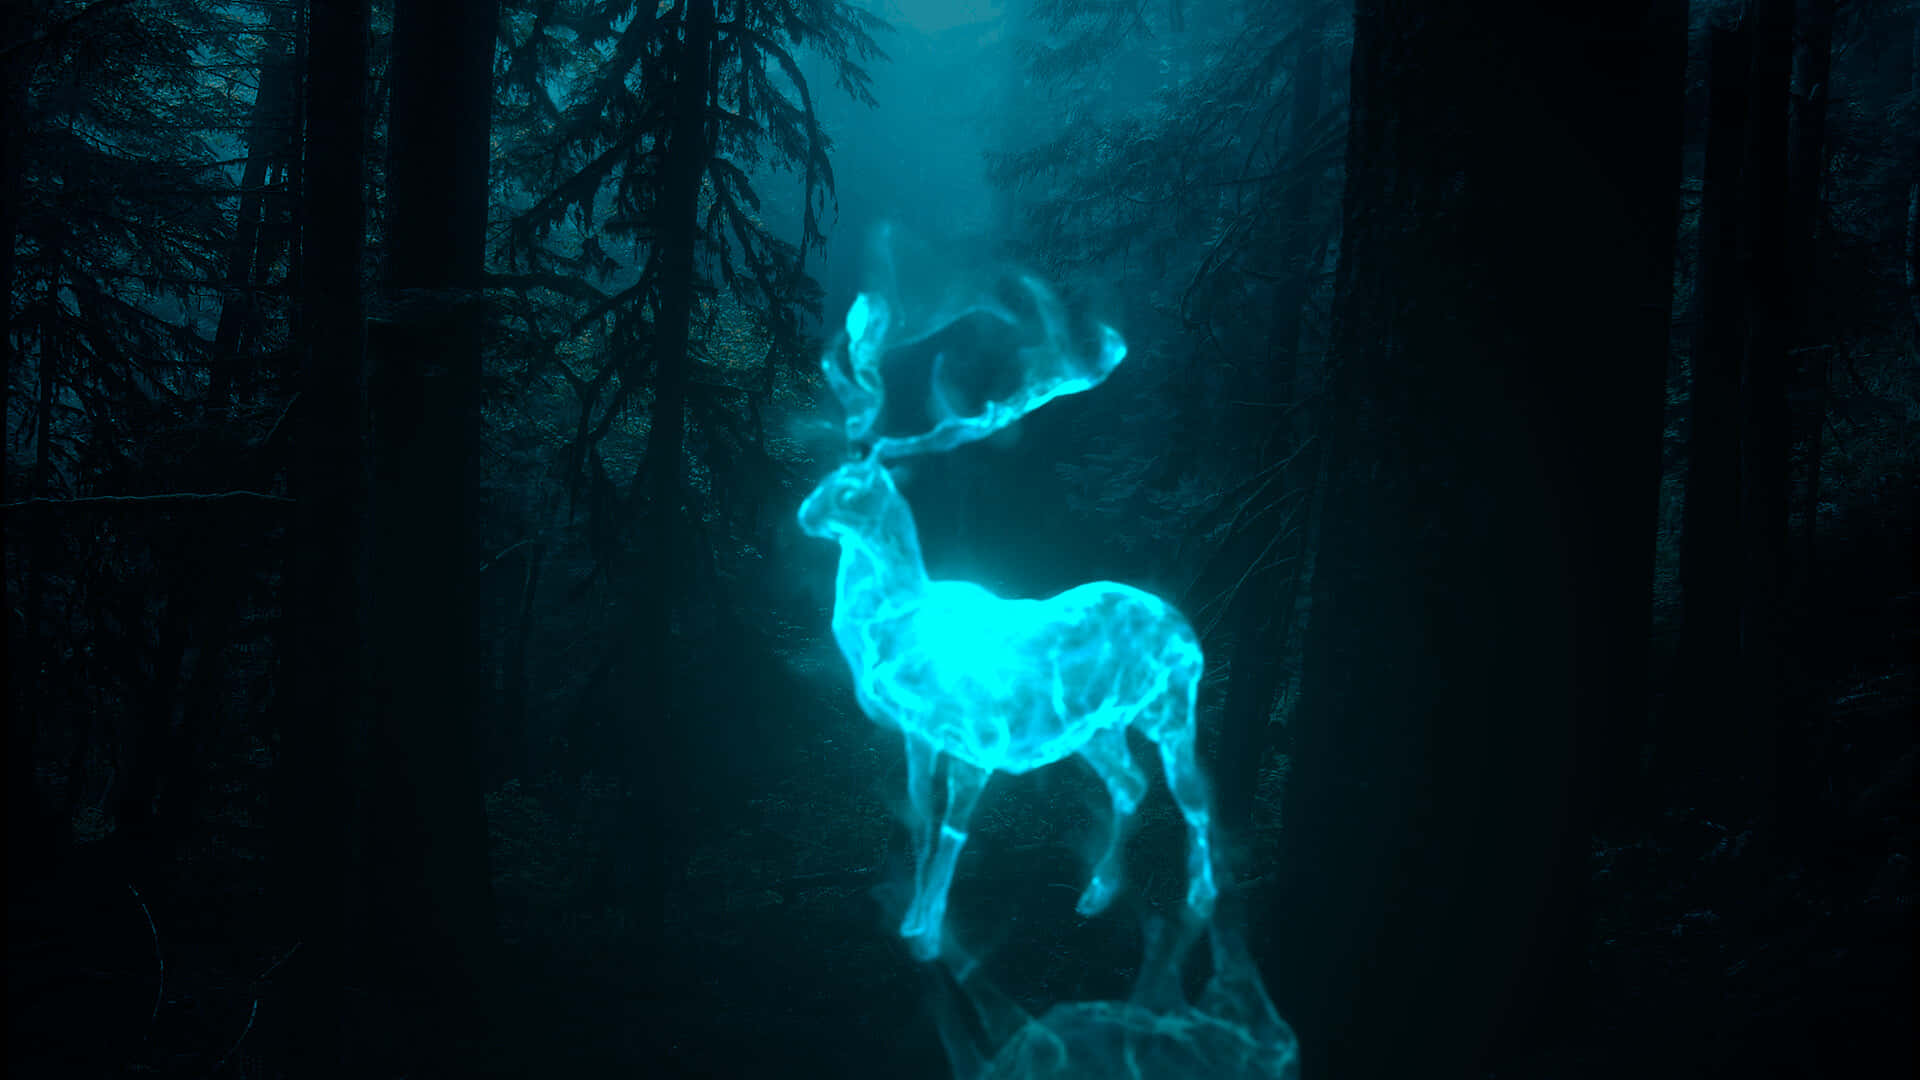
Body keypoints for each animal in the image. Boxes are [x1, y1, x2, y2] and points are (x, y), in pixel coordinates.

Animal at [798, 284, 1217, 962]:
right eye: (828, 474)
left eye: (856, 488)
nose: (804, 514)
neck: (895, 628)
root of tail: (1186, 627)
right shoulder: (921, 735)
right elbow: (920, 817)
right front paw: (909, 923)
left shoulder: (978, 737)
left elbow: (952, 828)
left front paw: (929, 935)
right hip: (1099, 729)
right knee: (1130, 784)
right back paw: (1096, 893)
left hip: (1172, 706)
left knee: (1193, 791)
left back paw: (1200, 901)